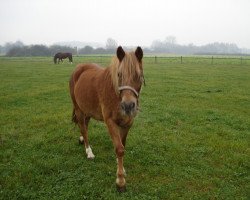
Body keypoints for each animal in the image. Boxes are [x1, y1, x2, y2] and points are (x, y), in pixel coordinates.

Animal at [69, 46, 145, 191]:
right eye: (119, 74)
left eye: (139, 75)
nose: (128, 106)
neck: (116, 95)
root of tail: (79, 68)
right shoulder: (110, 122)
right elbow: (119, 149)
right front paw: (120, 181)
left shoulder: (127, 123)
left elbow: (122, 145)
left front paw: (121, 167)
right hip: (78, 108)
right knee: (84, 129)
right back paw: (89, 151)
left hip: (87, 109)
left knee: (84, 126)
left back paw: (82, 140)